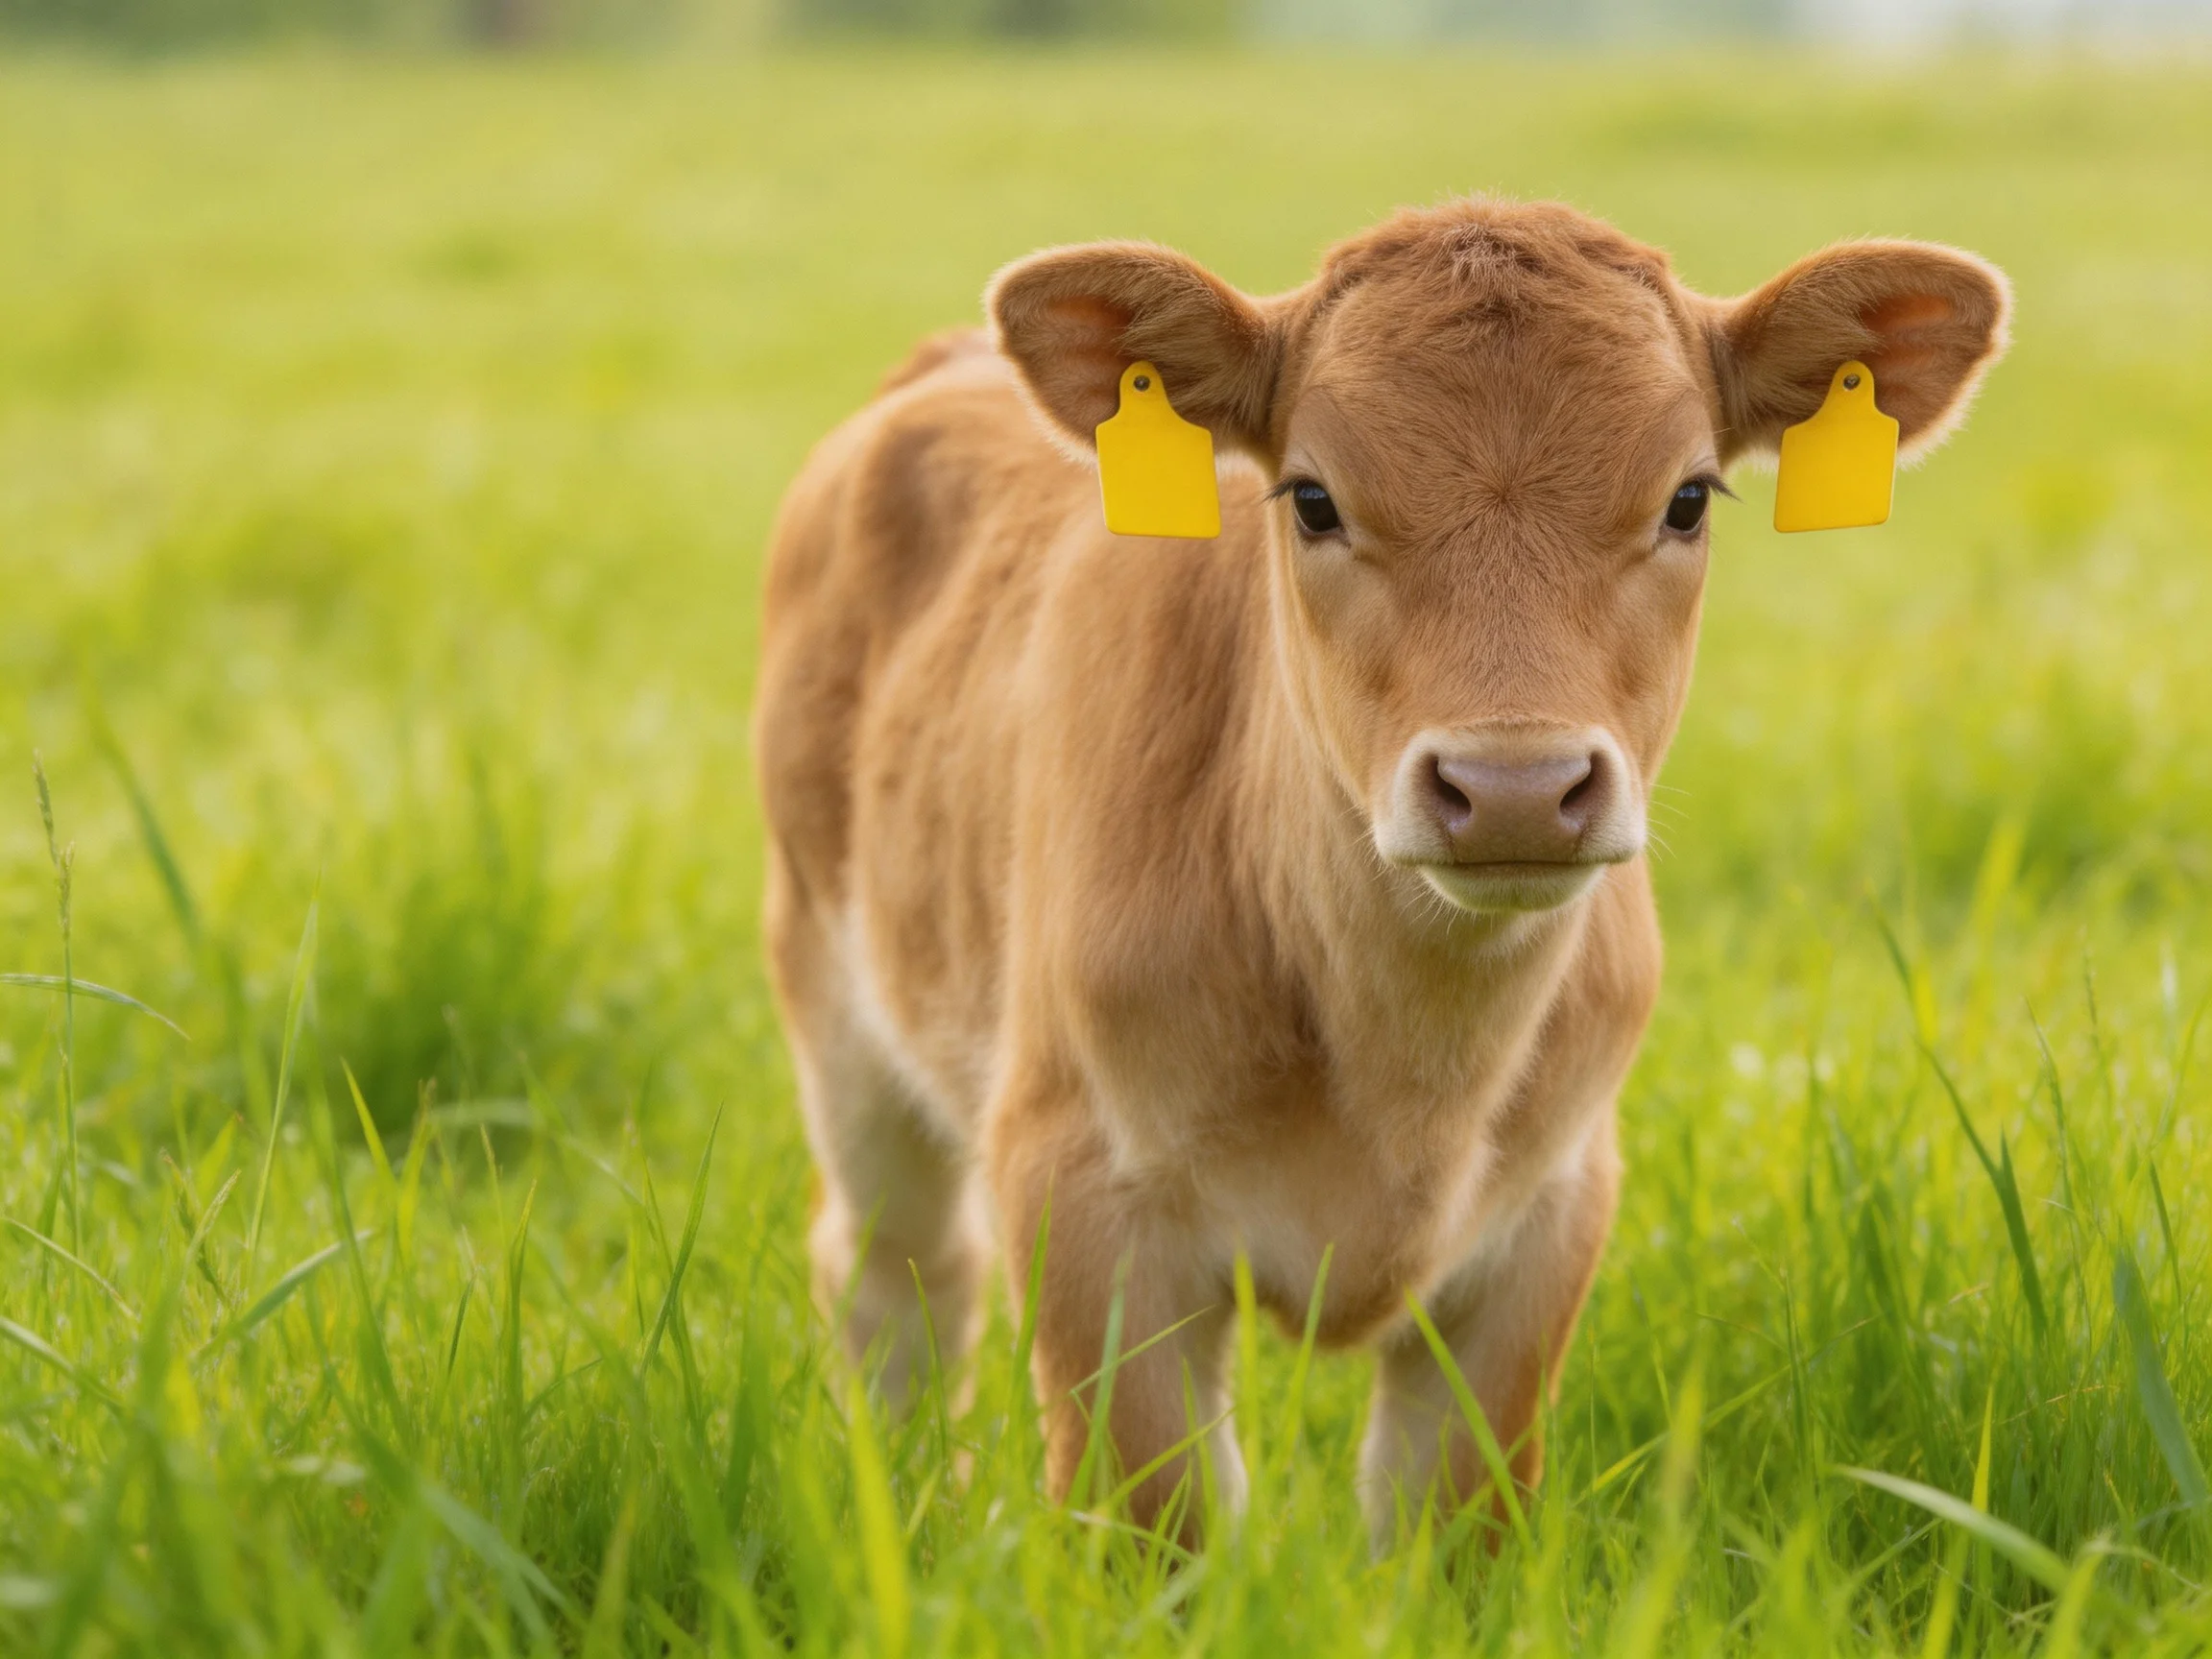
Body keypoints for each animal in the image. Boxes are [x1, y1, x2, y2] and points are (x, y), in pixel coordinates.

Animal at [752, 196, 2008, 1542]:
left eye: (1689, 499)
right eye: (1311, 498)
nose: (1514, 787)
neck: (1408, 1068)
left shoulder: (1548, 1217)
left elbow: (1449, 1512)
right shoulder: (1079, 1185)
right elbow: (1163, 1513)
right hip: (835, 994)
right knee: (898, 1278)